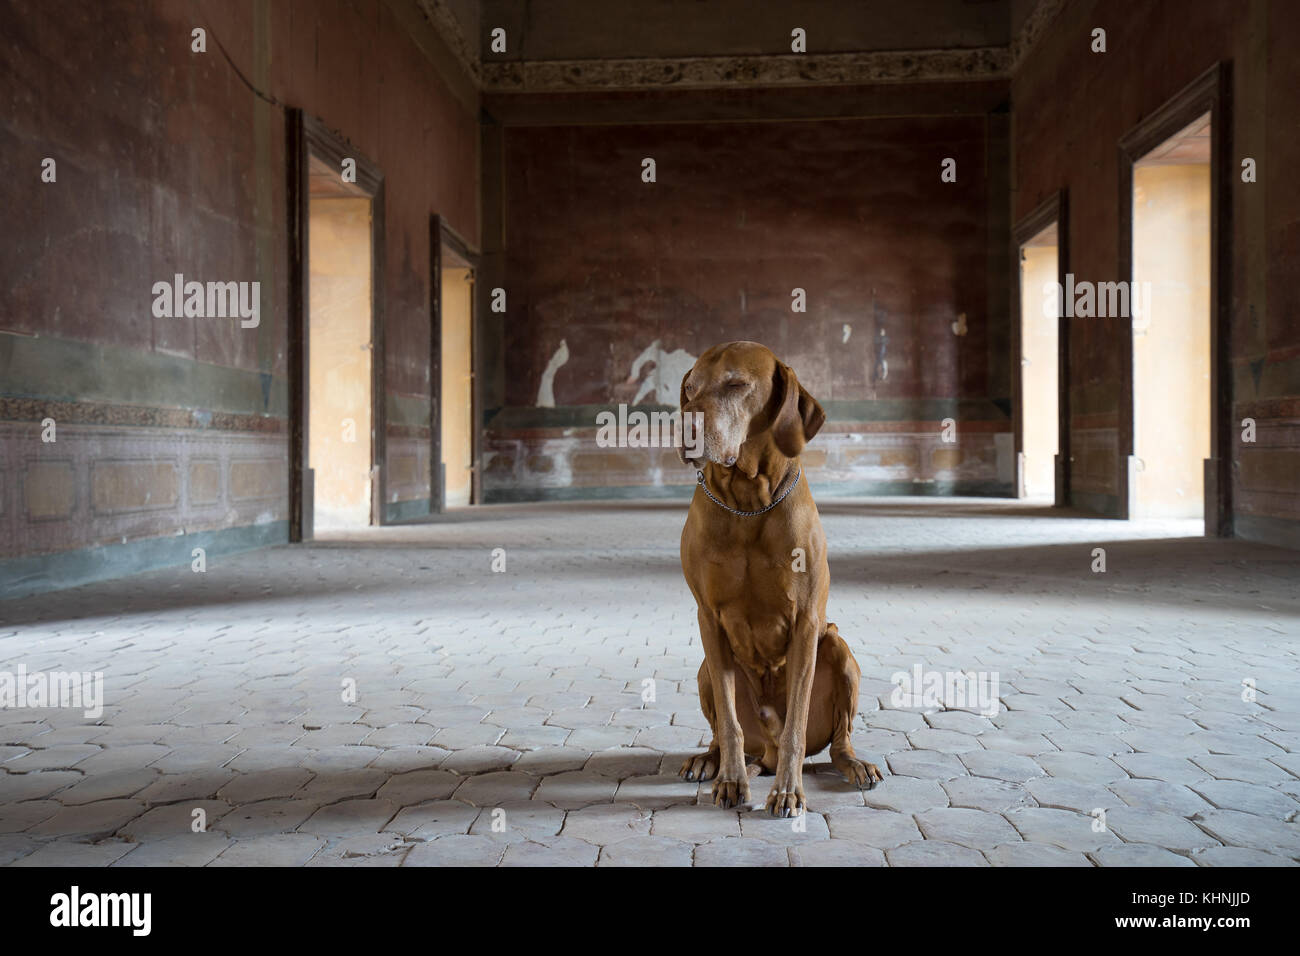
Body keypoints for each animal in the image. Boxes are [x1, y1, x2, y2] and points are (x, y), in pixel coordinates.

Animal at [681, 343, 883, 816]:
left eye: (736, 384)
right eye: (689, 389)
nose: (683, 427)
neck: (747, 501)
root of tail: (766, 751)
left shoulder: (807, 622)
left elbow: (796, 725)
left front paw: (789, 791)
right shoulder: (708, 618)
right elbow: (730, 721)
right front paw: (731, 780)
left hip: (838, 648)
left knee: (835, 742)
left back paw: (853, 764)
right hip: (705, 670)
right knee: (724, 729)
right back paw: (709, 760)